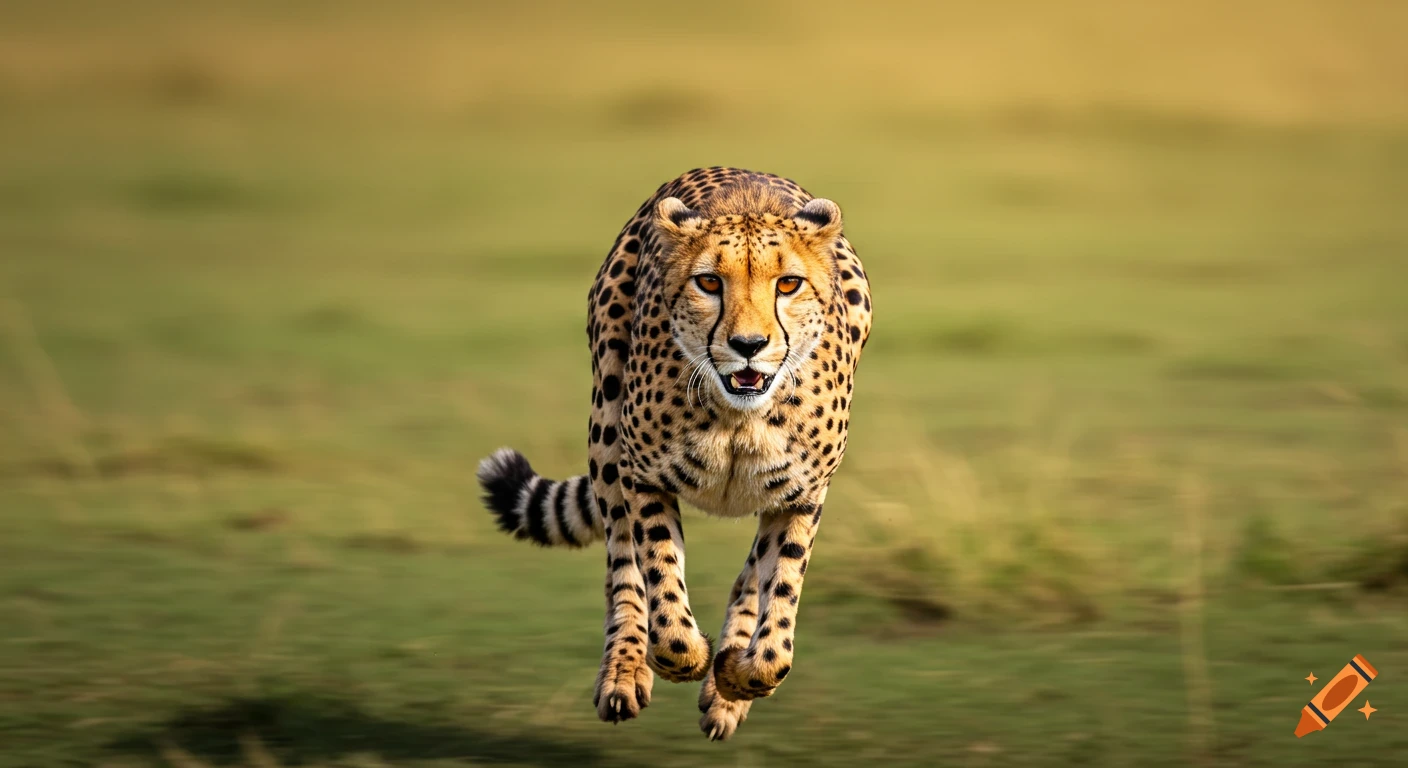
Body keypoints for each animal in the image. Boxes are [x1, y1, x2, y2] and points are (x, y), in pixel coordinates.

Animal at [477, 166, 871, 741]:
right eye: (709, 282)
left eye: (788, 284)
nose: (749, 345)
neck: (738, 415)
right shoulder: (644, 477)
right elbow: (660, 578)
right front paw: (685, 657)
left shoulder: (803, 494)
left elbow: (779, 608)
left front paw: (739, 674)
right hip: (607, 427)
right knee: (622, 564)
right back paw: (624, 672)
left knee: (750, 571)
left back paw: (726, 683)